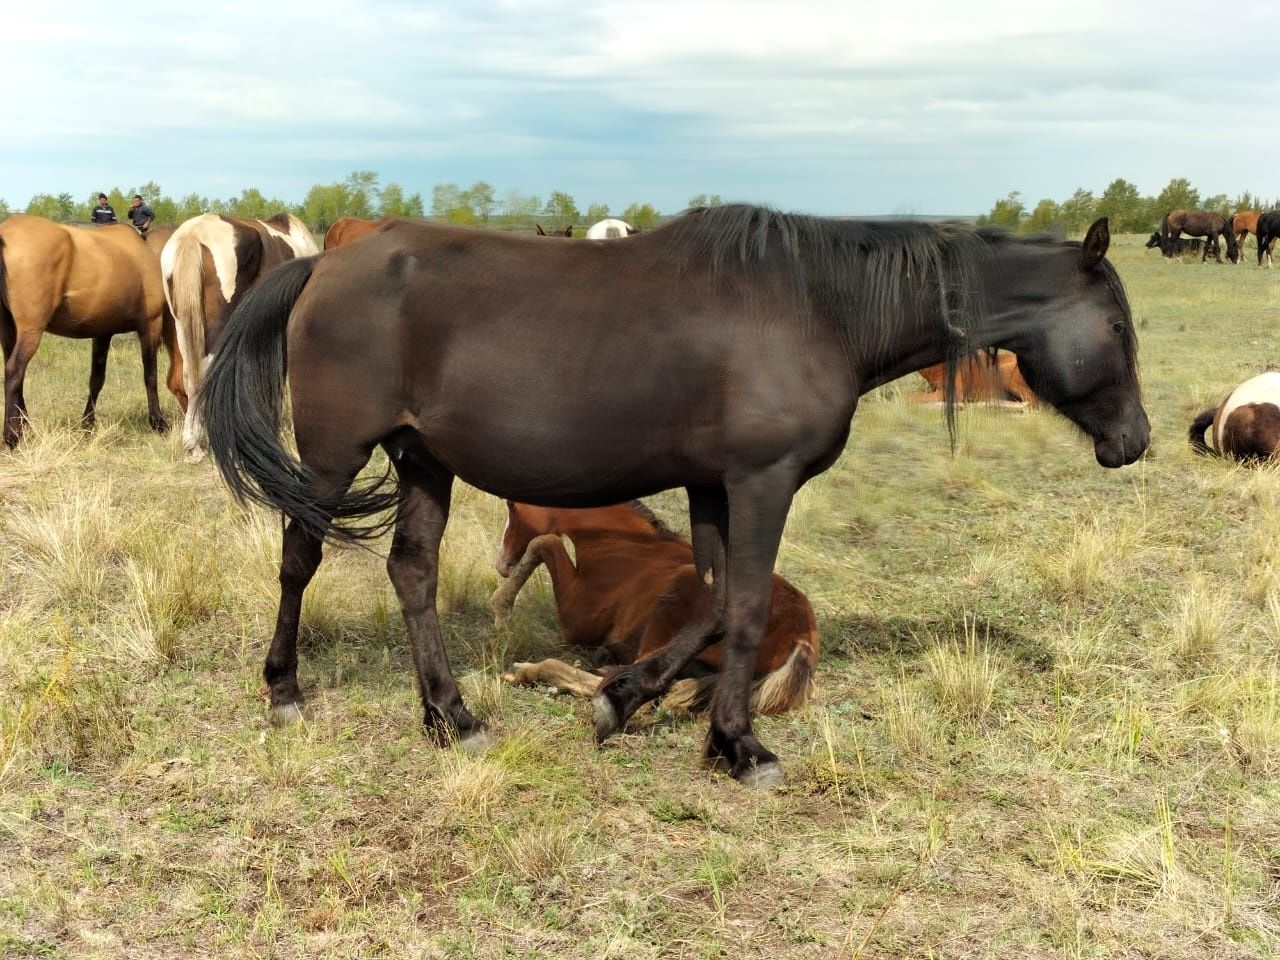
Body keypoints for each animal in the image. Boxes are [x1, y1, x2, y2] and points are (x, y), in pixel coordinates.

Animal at [0, 213, 183, 448]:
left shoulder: (103, 332)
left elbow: (96, 379)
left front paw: (87, 425)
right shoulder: (151, 324)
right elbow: (150, 375)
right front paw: (158, 422)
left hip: (9, 330)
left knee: (15, 373)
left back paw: (26, 428)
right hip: (30, 331)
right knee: (14, 371)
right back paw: (12, 436)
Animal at [488, 499, 819, 742]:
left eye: (511, 506)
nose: (502, 563)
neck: (620, 544)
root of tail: (802, 636)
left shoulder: (578, 618)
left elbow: (544, 542)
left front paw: (501, 608)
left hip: (669, 608)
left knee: (638, 688)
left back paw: (531, 671)